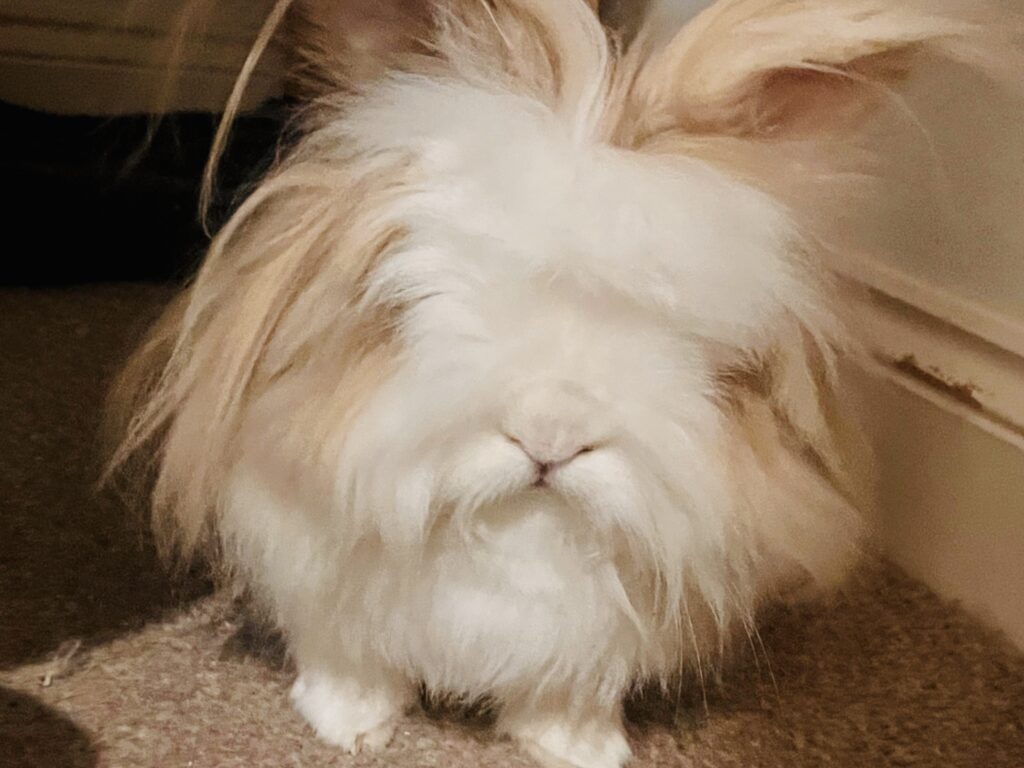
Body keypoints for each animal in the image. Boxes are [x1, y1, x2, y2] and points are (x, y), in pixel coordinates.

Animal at [107, 1, 1021, 766]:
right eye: (414, 297)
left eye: (682, 333)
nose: (550, 438)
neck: (519, 538)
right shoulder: (307, 559)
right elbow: (347, 656)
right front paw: (350, 729)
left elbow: (570, 688)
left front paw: (581, 751)